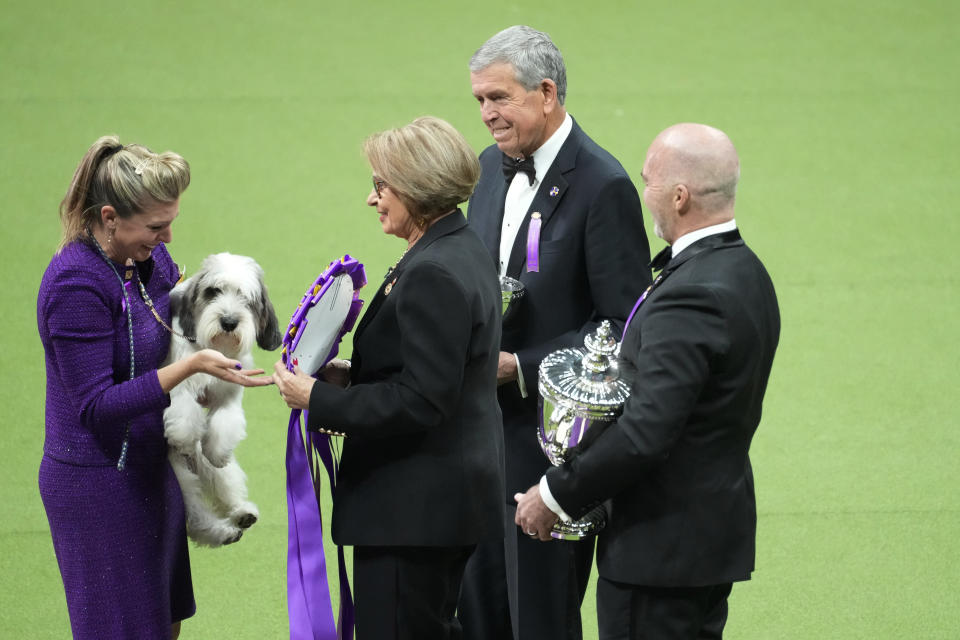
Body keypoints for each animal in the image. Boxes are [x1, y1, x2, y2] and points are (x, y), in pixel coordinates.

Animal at [161, 252, 280, 548]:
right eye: (213, 291)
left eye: (246, 297)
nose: (229, 321)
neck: (213, 347)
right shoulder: (179, 384)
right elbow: (183, 412)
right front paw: (182, 436)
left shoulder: (228, 395)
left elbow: (223, 423)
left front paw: (217, 451)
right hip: (180, 478)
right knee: (195, 516)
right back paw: (222, 531)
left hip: (212, 471)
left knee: (225, 487)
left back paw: (241, 515)